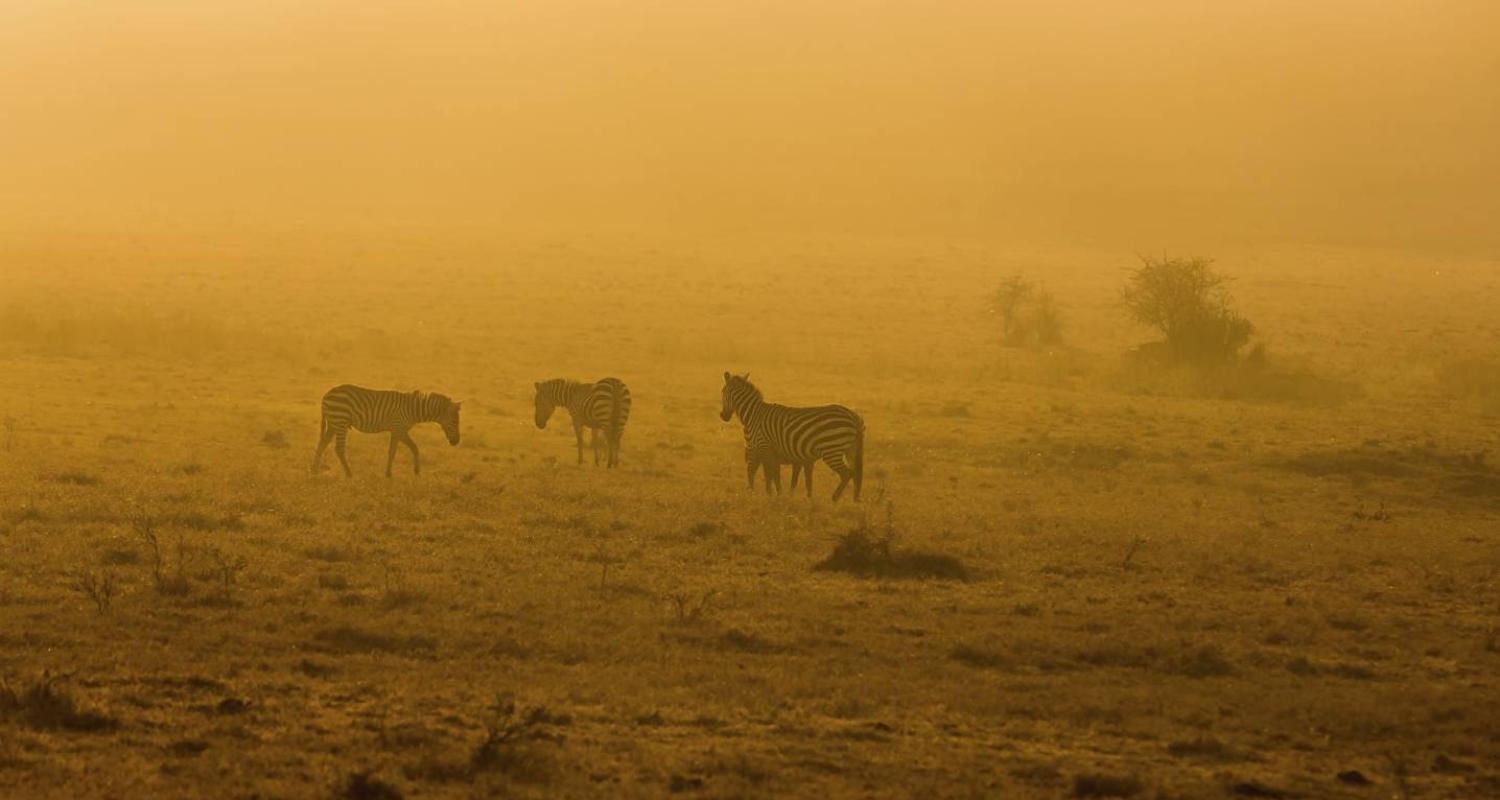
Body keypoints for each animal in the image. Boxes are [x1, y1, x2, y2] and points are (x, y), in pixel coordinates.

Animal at [310, 384, 456, 477]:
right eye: (455, 422)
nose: (456, 442)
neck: (412, 410)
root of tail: (327, 394)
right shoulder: (399, 428)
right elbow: (414, 447)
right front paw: (417, 471)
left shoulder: (395, 431)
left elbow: (392, 451)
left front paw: (388, 474)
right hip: (340, 421)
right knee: (339, 449)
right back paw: (349, 474)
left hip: (333, 423)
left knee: (322, 443)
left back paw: (314, 470)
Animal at [723, 369, 870, 498]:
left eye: (722, 392)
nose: (723, 416)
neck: (754, 415)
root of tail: (852, 416)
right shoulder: (769, 452)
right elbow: (774, 475)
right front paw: (778, 496)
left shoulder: (763, 448)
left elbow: (766, 474)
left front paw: (768, 495)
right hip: (851, 449)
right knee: (856, 474)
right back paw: (855, 500)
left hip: (831, 449)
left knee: (847, 473)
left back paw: (835, 498)